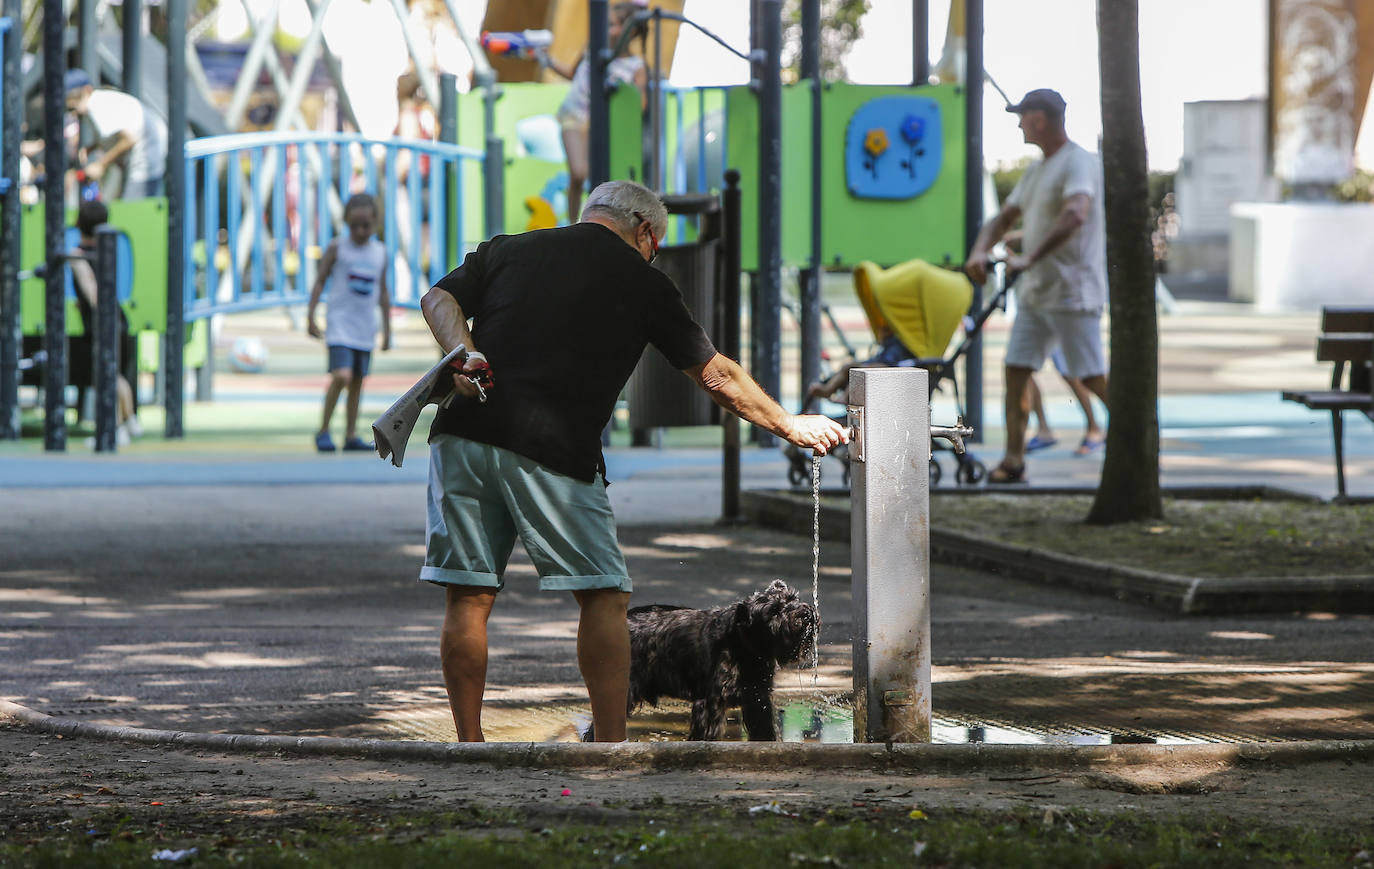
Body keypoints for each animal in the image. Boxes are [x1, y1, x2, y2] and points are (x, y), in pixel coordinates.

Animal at [618, 577, 807, 742]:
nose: (804, 614)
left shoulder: (758, 698)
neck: (743, 641)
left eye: (793, 598)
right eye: (774, 611)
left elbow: (764, 730)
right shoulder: (711, 701)